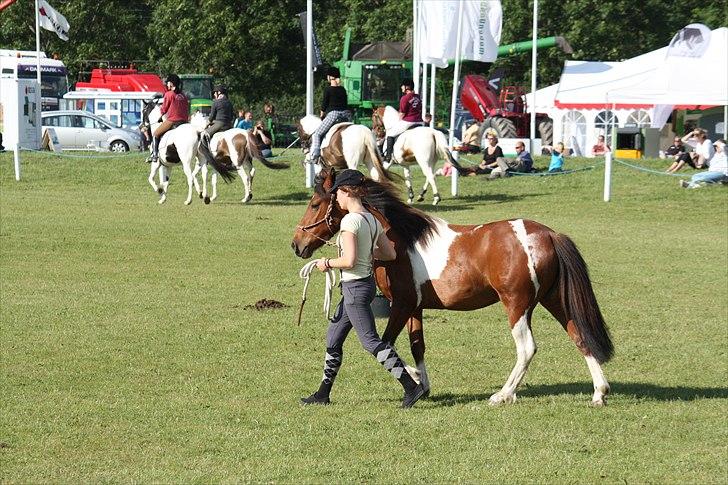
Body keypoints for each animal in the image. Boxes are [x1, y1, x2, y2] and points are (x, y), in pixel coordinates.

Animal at [290, 169, 616, 404]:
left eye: (315, 204)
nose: (297, 245)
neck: (400, 240)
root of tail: (548, 234)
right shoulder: (415, 308)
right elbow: (416, 346)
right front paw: (423, 385)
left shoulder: (401, 305)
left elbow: (386, 344)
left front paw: (415, 383)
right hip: (554, 300)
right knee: (579, 336)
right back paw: (599, 393)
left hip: (517, 305)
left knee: (527, 349)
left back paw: (503, 395)